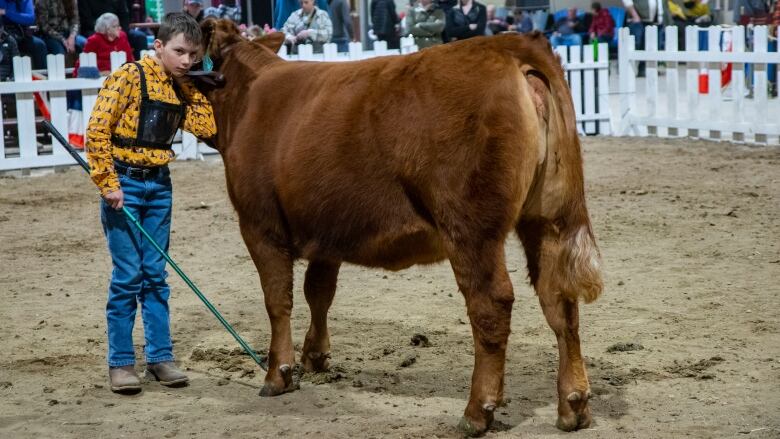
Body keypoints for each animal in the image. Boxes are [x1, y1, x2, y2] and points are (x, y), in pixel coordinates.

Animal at [200, 19, 604, 436]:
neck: (248, 96)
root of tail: (508, 45)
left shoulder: (259, 225)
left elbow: (278, 299)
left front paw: (277, 374)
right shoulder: (327, 233)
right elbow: (319, 293)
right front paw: (315, 356)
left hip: (470, 227)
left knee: (491, 303)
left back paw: (477, 411)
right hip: (549, 218)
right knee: (559, 299)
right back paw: (573, 404)